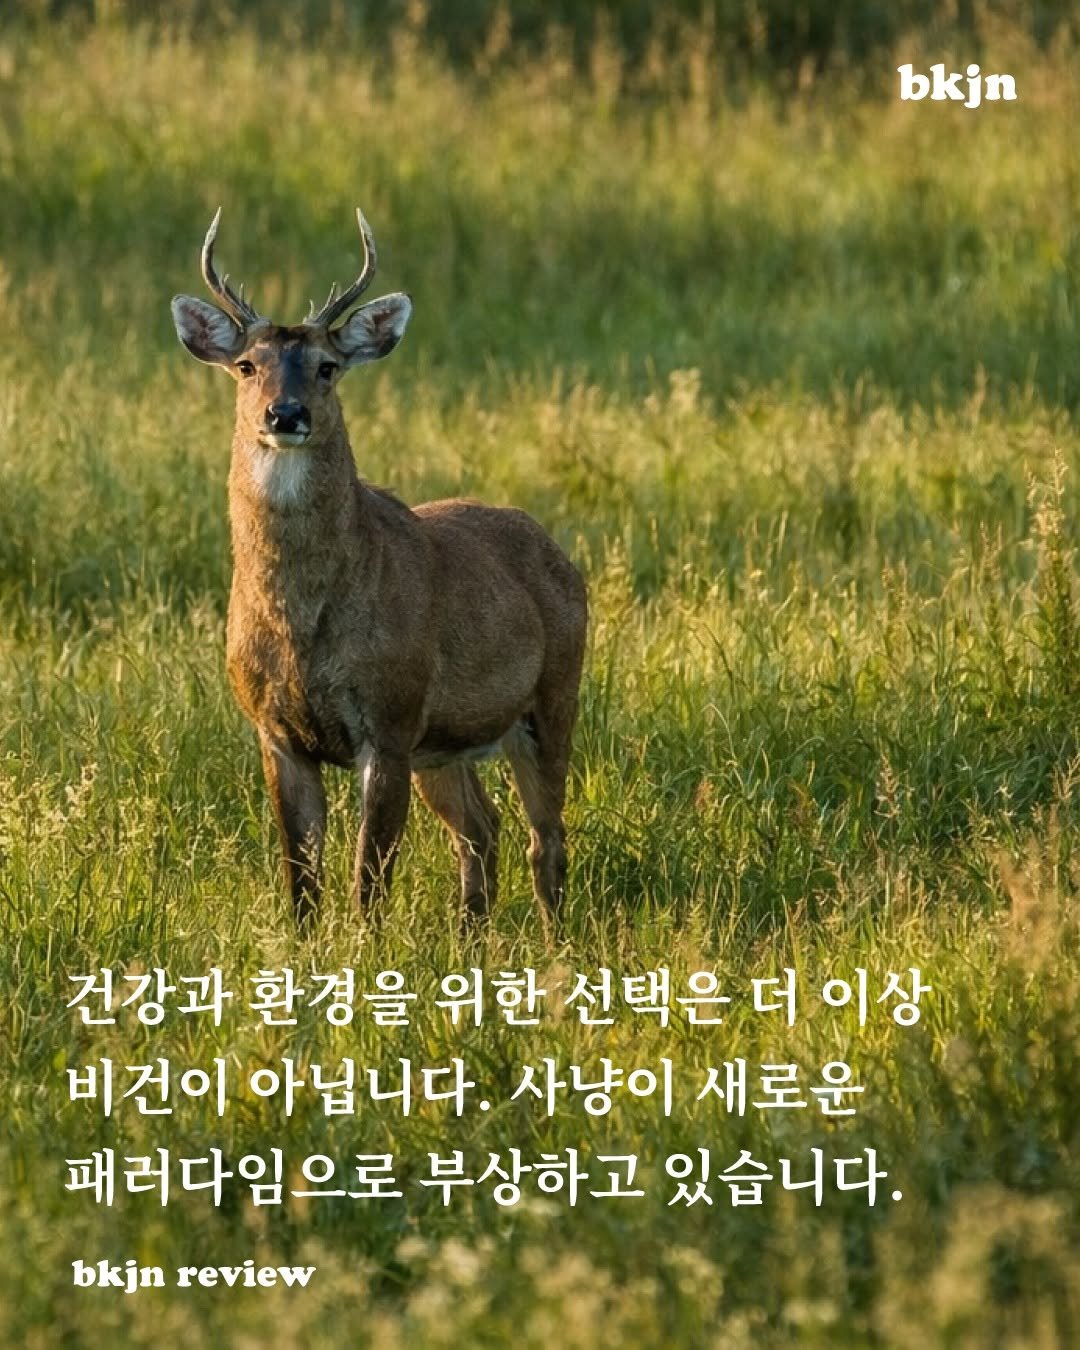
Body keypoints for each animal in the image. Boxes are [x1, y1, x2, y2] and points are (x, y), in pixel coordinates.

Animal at [171, 208, 587, 935]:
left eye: (328, 366)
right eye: (247, 365)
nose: (286, 414)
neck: (305, 627)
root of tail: (560, 555)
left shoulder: (390, 720)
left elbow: (369, 877)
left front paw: (366, 953)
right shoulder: (276, 731)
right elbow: (301, 878)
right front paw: (305, 954)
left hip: (552, 697)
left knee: (547, 838)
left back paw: (556, 946)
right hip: (444, 743)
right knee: (482, 828)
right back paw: (469, 939)